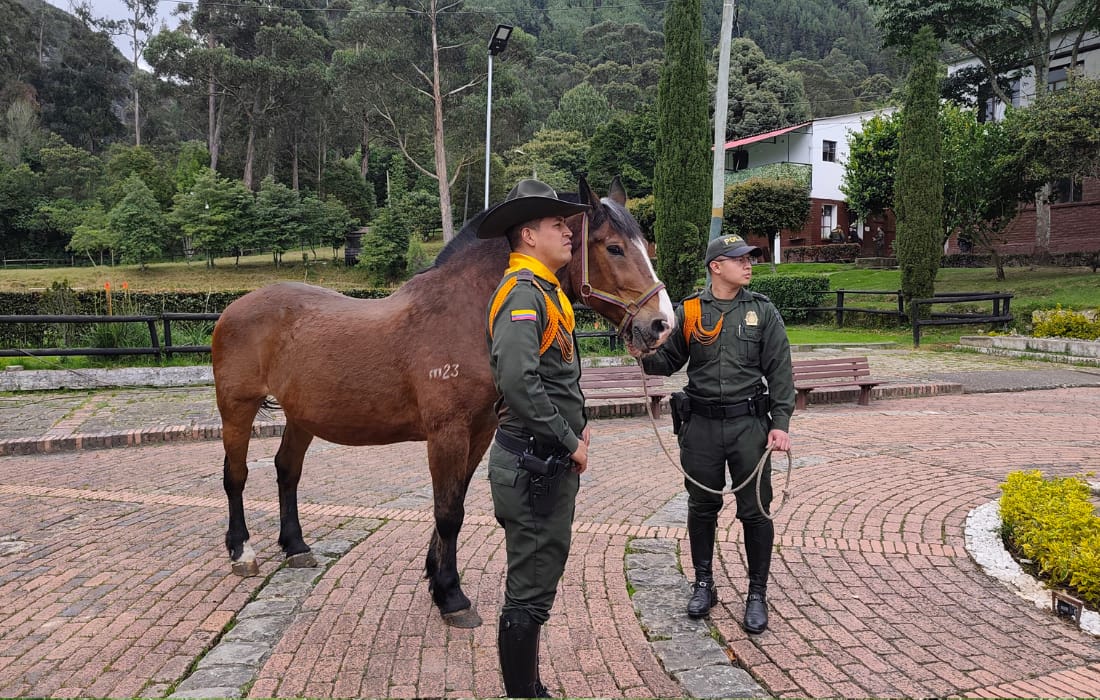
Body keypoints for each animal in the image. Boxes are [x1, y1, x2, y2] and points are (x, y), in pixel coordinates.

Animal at [211, 177, 675, 628]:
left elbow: (454, 506)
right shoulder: (447, 435)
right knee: (235, 475)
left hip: (301, 416)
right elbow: (448, 512)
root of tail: (235, 308)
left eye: (646, 247)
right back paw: (242, 552)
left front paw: (436, 580)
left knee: (286, 471)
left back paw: (296, 546)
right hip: (237, 408)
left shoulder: (479, 433)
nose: (661, 325)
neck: (469, 313)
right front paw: (452, 596)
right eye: (613, 247)